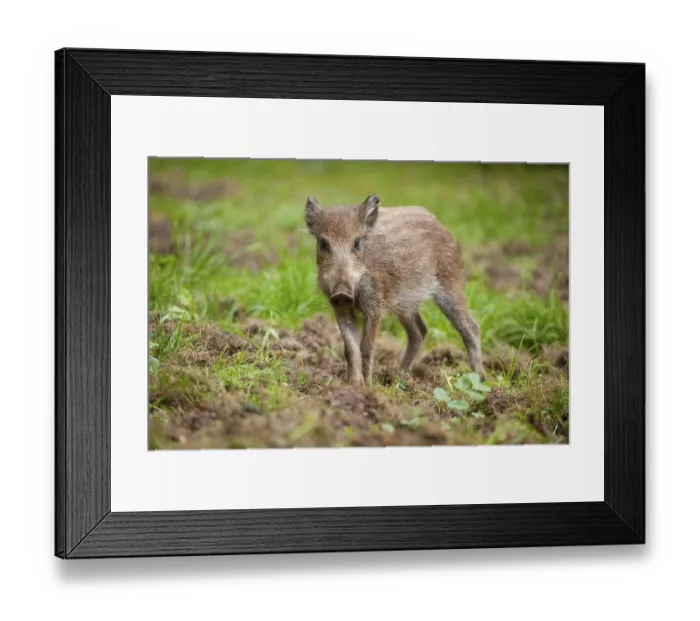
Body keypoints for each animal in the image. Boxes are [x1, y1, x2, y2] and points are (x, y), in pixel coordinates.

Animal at [305, 194, 485, 386]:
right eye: (323, 243)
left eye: (357, 242)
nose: (341, 292)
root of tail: (444, 228)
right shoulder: (340, 307)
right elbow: (350, 349)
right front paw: (353, 384)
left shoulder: (375, 305)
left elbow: (366, 347)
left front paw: (367, 386)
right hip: (406, 303)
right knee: (419, 331)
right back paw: (398, 375)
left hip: (450, 285)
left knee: (471, 327)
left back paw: (480, 377)